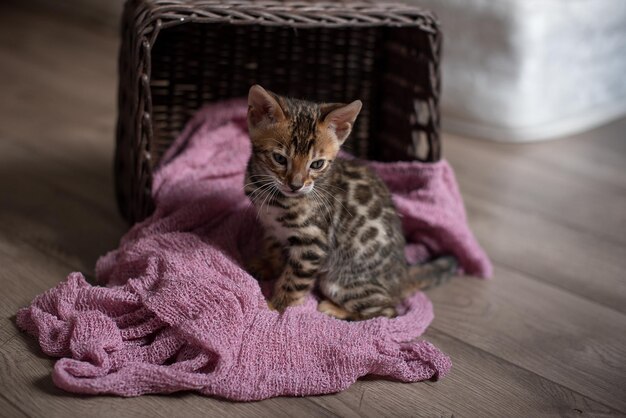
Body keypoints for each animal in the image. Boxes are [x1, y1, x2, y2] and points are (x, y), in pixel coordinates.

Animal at [244, 85, 454, 320]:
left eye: (316, 164)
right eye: (280, 159)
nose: (296, 185)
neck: (273, 194)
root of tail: (402, 275)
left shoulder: (313, 242)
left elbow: (294, 281)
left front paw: (275, 308)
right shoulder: (271, 226)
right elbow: (272, 246)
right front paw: (267, 264)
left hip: (339, 282)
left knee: (387, 312)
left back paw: (334, 309)